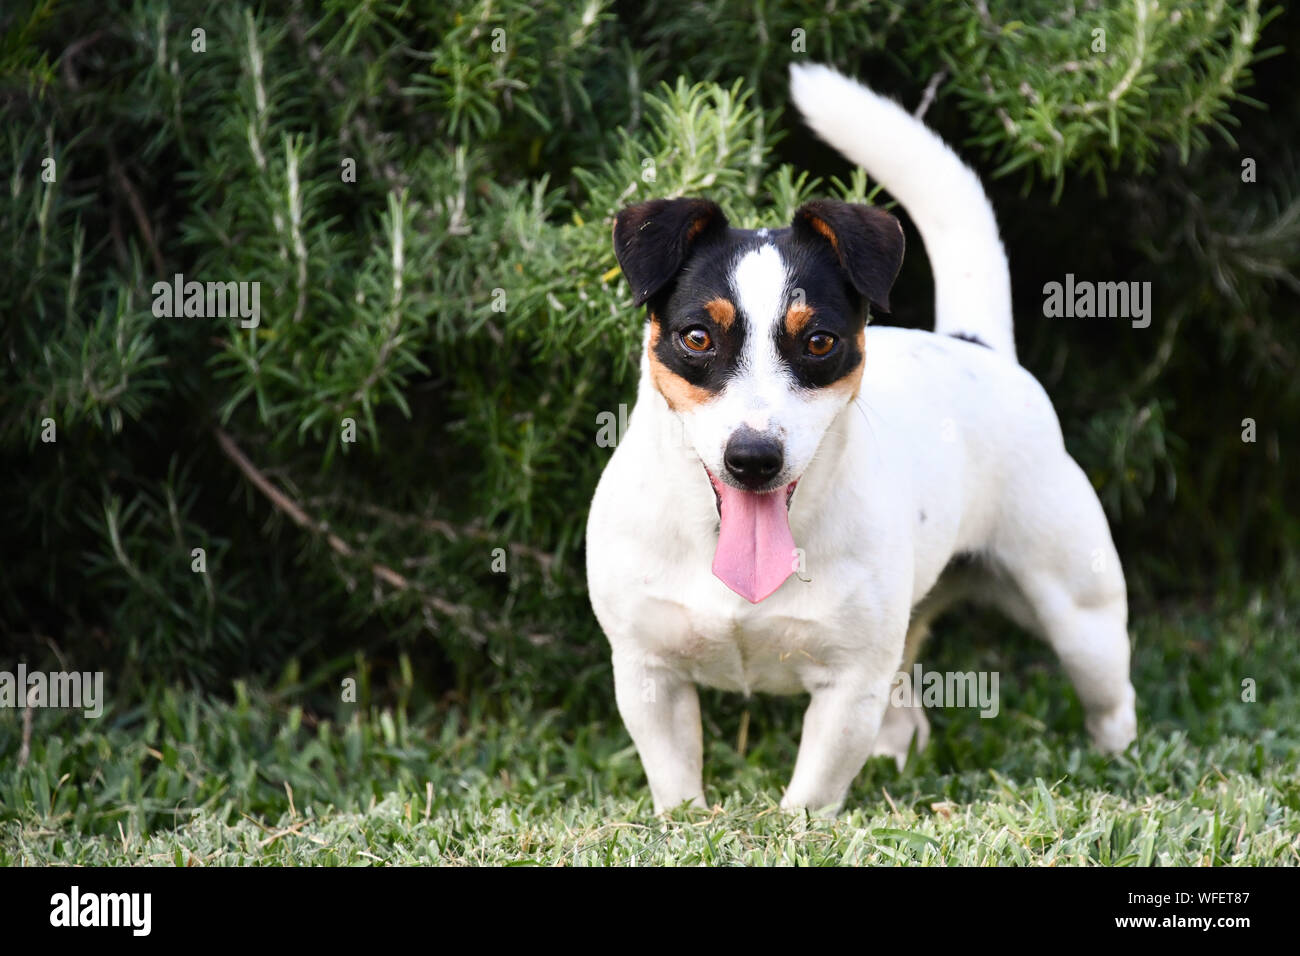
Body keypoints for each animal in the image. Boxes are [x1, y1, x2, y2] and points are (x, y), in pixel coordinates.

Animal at [585, 63, 1133, 816]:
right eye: (697, 337)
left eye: (819, 341)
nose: (752, 457)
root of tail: (980, 347)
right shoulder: (648, 674)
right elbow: (676, 783)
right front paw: (684, 826)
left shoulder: (849, 683)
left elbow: (811, 796)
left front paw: (793, 829)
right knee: (906, 712)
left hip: (1082, 614)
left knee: (1112, 698)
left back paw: (1122, 767)